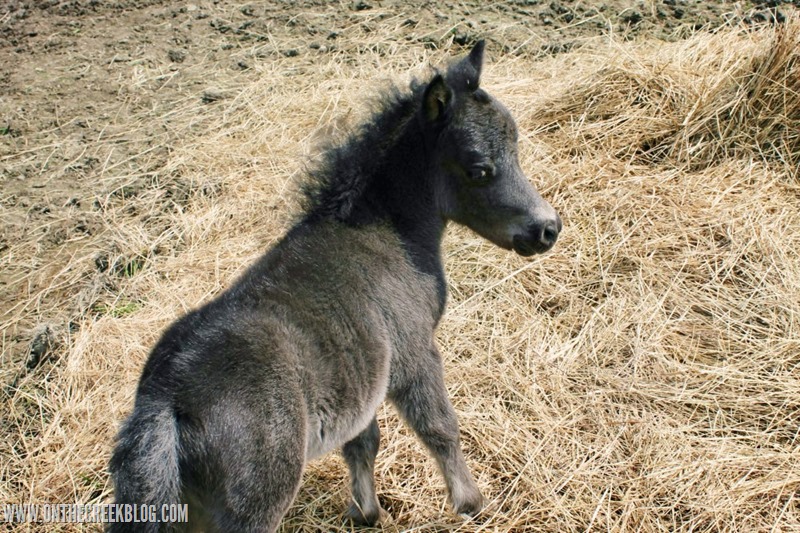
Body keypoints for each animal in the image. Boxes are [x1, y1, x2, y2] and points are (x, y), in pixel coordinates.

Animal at [111, 42, 564, 532]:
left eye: (516, 146)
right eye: (478, 169)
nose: (547, 229)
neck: (384, 231)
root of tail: (165, 403)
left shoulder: (362, 379)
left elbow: (362, 442)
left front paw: (366, 512)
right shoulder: (413, 352)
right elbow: (440, 428)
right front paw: (471, 503)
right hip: (252, 506)